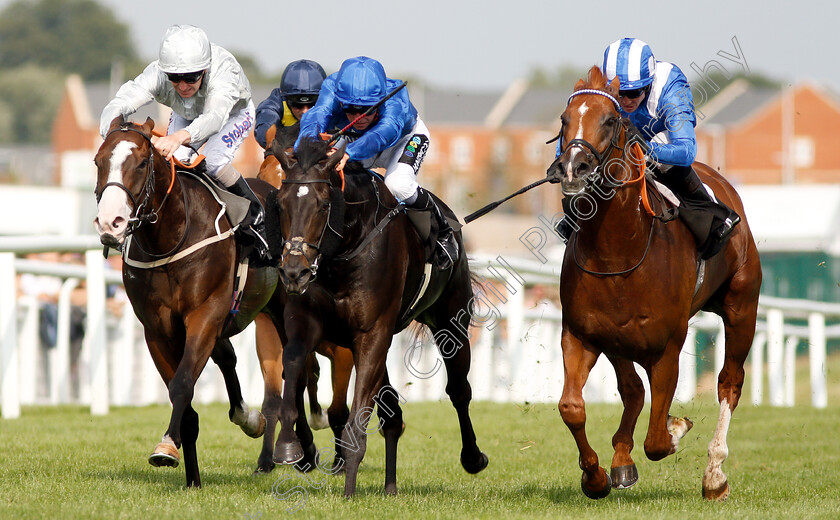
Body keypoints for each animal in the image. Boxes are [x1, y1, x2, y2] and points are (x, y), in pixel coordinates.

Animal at [94, 118, 280, 488]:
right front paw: (191, 476)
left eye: (141, 163)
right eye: (98, 161)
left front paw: (166, 445)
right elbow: (184, 397)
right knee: (229, 357)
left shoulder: (204, 315)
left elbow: (182, 385)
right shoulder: (158, 330)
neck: (170, 238)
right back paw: (250, 419)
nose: (110, 223)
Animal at [262, 130, 486, 496]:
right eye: (280, 204)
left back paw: (472, 457)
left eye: (323, 204)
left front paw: (349, 490)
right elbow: (292, 372)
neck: (345, 251)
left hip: (450, 320)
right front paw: (289, 447)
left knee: (458, 390)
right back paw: (390, 486)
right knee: (392, 412)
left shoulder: (372, 334)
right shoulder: (305, 325)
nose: (294, 272)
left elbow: (356, 418)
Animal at [548, 67, 764, 502]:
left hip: (742, 308)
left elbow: (658, 440)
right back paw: (621, 461)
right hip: (618, 340)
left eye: (609, 120)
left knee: (729, 383)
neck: (618, 252)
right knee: (632, 389)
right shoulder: (583, 334)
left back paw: (714, 474)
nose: (574, 168)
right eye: (564, 120)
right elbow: (572, 407)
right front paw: (596, 476)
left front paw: (676, 429)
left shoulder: (667, 346)